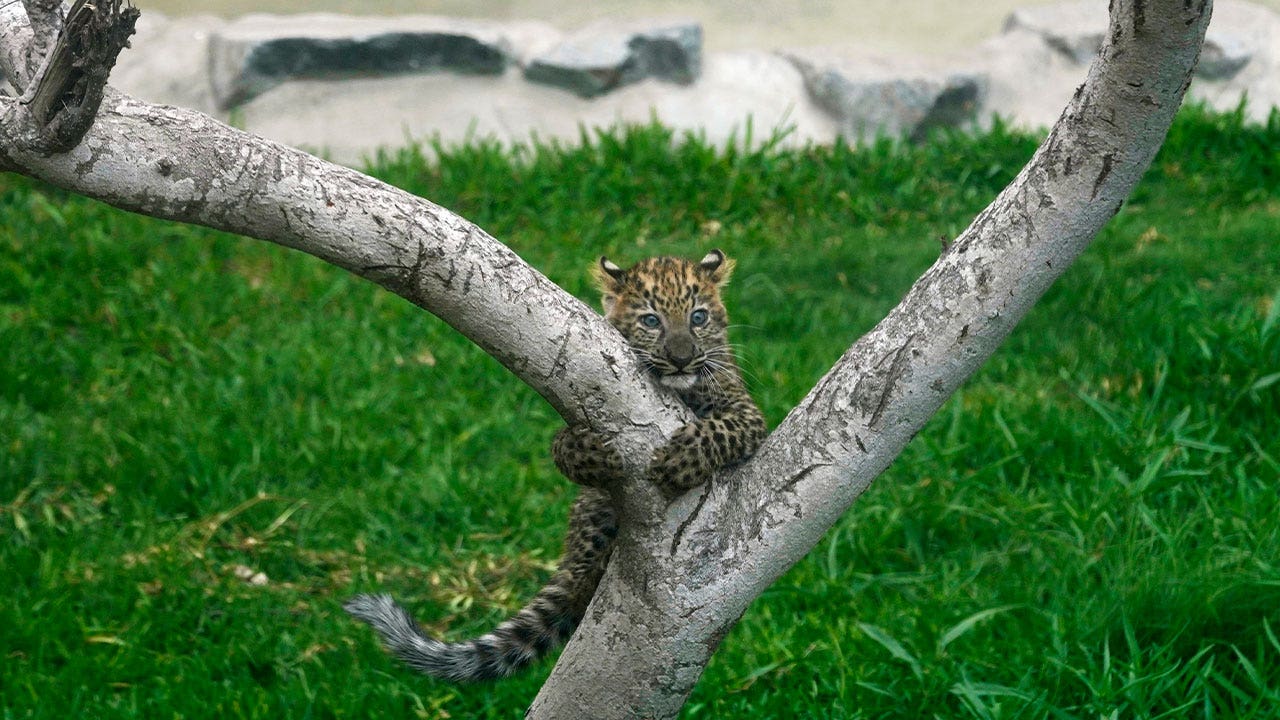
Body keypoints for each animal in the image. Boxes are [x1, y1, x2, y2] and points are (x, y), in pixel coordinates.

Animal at [344, 249, 767, 682]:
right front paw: (587, 452)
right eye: (652, 321)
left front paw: (678, 461)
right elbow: (559, 446)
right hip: (594, 511)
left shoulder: (746, 413)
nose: (682, 359)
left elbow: (721, 429)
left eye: (698, 317)